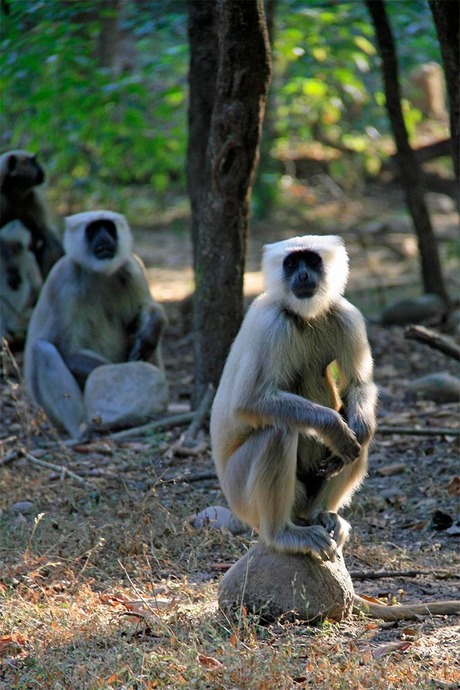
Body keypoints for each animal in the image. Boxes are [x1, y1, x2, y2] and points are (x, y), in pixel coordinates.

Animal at [24, 207, 168, 438]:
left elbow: (148, 310)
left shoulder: (131, 267)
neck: (98, 273)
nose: (104, 239)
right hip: (53, 415)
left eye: (108, 227)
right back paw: (82, 433)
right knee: (42, 349)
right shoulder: (64, 280)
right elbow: (66, 350)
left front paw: (149, 332)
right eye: (93, 230)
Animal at [211, 234, 378, 560]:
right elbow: (249, 402)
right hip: (242, 496)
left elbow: (358, 385)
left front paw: (354, 430)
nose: (302, 276)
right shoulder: (272, 323)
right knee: (278, 430)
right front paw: (334, 429)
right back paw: (281, 534)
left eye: (311, 261)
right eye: (291, 264)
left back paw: (322, 515)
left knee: (360, 434)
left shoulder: (345, 314)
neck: (303, 316)